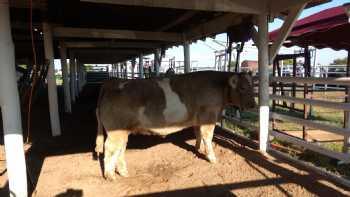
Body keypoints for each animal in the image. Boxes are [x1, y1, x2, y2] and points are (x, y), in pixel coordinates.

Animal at [94, 71, 256, 180]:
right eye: (242, 88)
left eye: (252, 86)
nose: (253, 104)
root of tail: (112, 84)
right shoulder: (209, 115)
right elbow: (207, 137)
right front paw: (212, 158)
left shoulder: (198, 119)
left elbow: (198, 133)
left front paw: (197, 148)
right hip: (116, 131)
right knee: (110, 148)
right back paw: (110, 175)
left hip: (123, 131)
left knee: (120, 149)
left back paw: (123, 172)